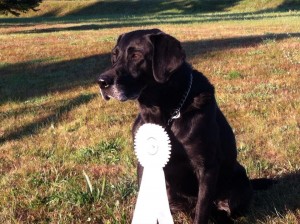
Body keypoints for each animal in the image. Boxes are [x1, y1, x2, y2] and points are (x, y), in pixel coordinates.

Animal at [98, 28, 253, 223]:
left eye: (136, 55)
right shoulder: (144, 164)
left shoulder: (207, 168)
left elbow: (202, 211)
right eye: (114, 55)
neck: (164, 114)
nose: (102, 82)